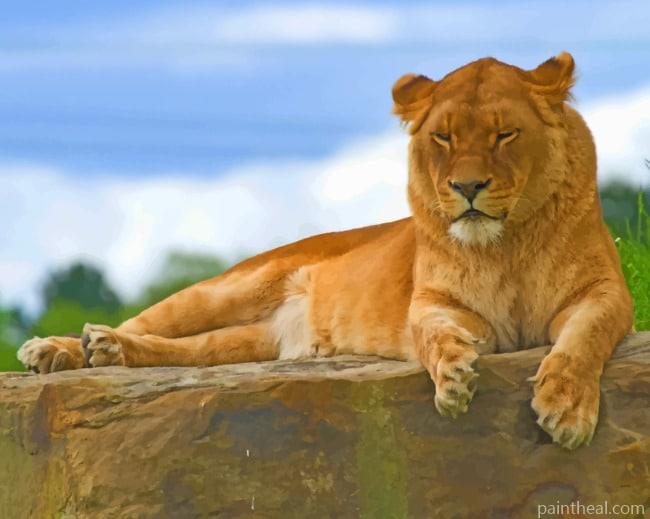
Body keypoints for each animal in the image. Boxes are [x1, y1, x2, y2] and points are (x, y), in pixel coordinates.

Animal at [17, 53, 633, 449]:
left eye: (505, 135)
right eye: (444, 138)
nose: (467, 187)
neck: (504, 246)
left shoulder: (606, 293)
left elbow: (583, 341)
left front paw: (566, 408)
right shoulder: (432, 303)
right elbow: (433, 335)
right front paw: (454, 375)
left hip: (252, 344)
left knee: (182, 352)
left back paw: (106, 352)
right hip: (231, 287)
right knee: (147, 321)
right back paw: (62, 349)